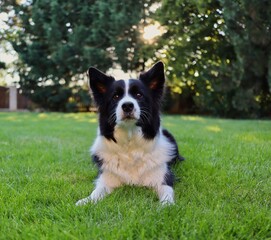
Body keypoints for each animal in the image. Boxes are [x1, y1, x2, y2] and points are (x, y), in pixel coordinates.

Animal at [75, 61, 184, 205]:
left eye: (139, 95)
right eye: (115, 96)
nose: (127, 106)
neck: (130, 143)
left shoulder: (163, 179)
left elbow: (167, 194)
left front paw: (167, 206)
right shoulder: (106, 178)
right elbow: (96, 192)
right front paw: (85, 201)